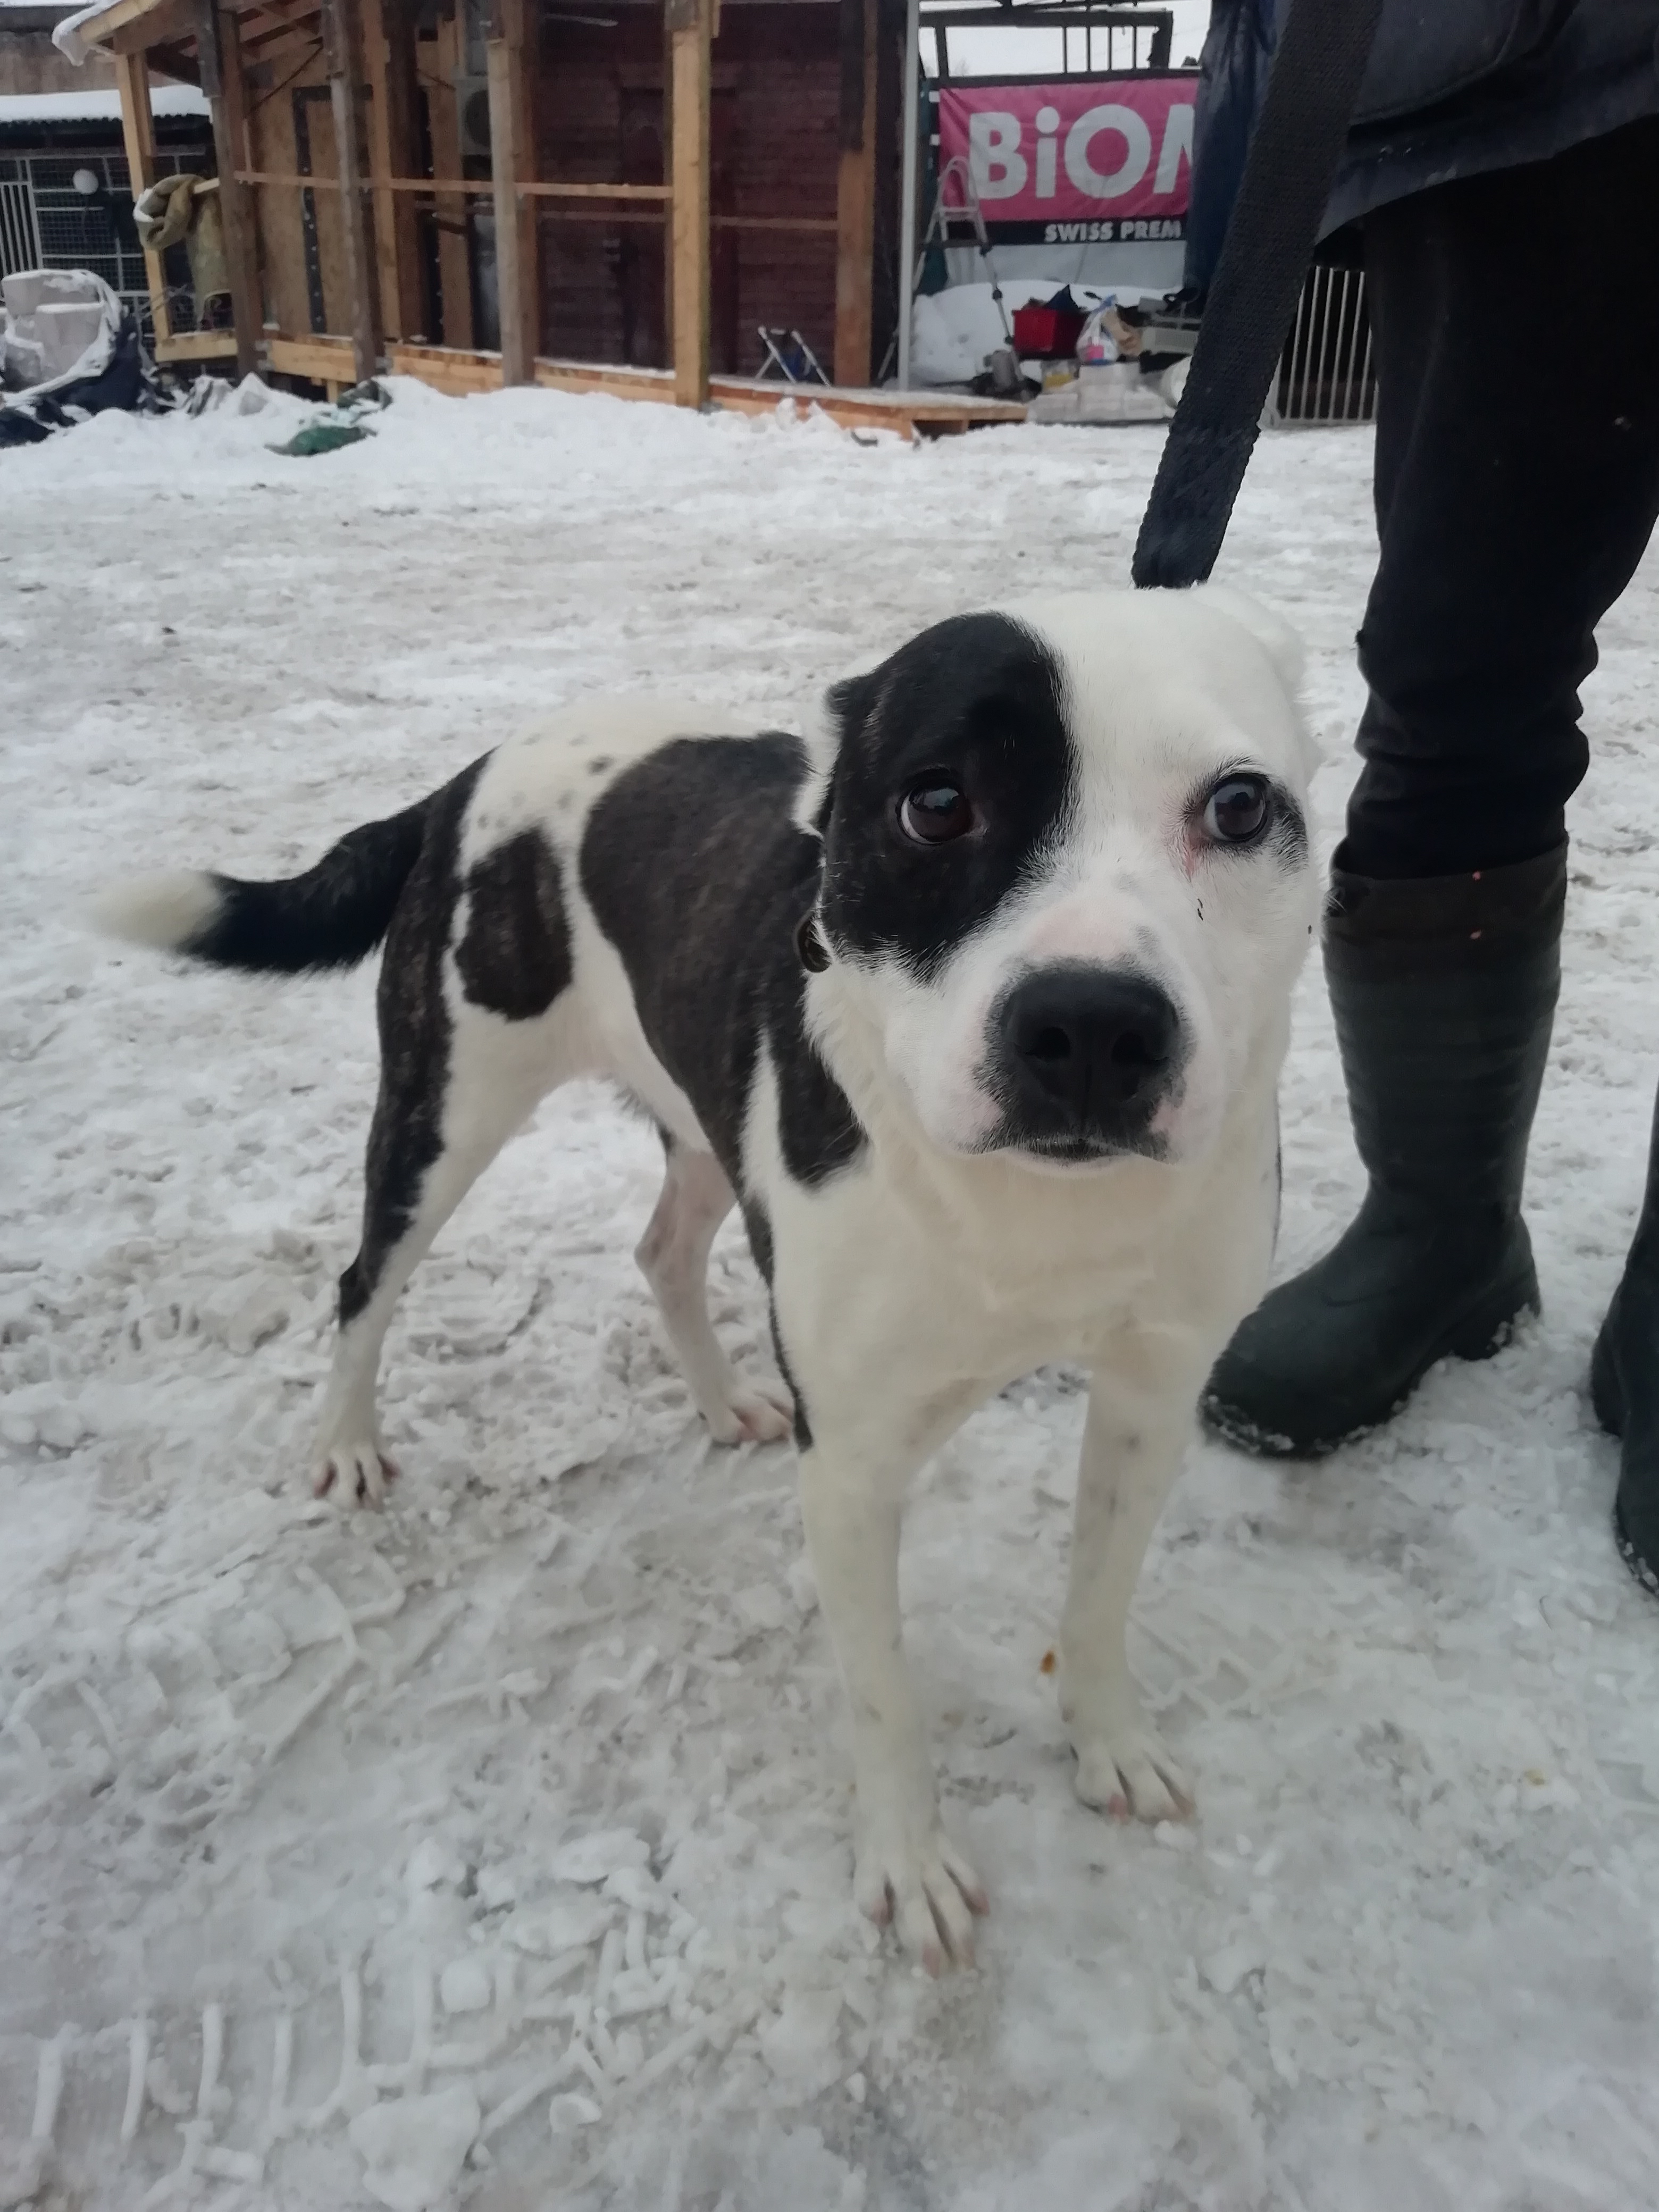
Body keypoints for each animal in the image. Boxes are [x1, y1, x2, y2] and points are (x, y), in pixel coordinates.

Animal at [94, 585, 1319, 1971]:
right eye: (936, 803)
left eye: (1237, 806)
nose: (1093, 1027)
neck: (1041, 1211)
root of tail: (476, 770)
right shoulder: (853, 1468)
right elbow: (883, 1693)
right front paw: (909, 1866)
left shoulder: (1152, 1394)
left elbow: (1101, 1598)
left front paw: (1108, 1742)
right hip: (441, 1110)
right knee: (365, 1280)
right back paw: (348, 1444)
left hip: (699, 1117)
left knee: (661, 1248)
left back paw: (720, 1394)